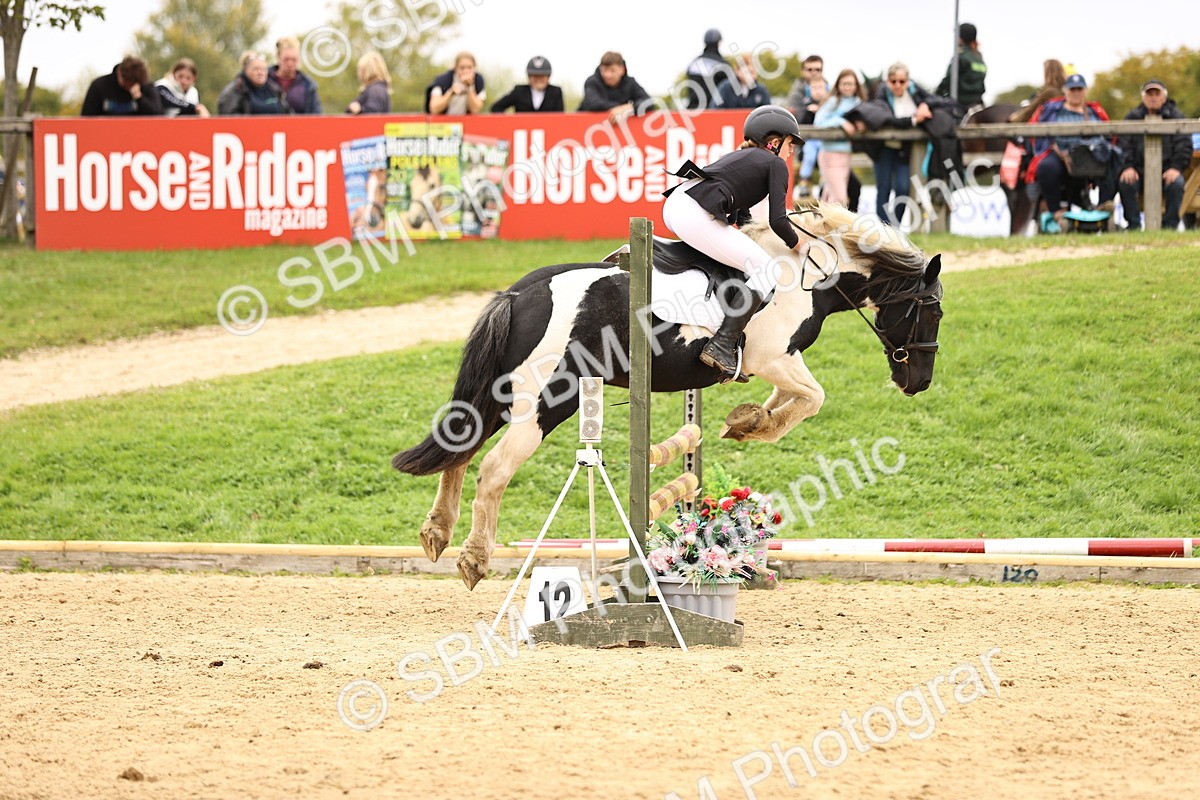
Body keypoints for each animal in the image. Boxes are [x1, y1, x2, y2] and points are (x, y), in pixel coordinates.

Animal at [391, 202, 944, 589]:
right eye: (933, 312)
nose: (918, 382)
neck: (806, 271)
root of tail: (519, 293)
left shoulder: (778, 363)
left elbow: (791, 400)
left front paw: (746, 419)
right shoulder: (774, 356)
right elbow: (813, 398)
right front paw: (755, 423)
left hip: (504, 393)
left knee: (461, 446)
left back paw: (437, 532)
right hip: (547, 403)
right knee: (492, 468)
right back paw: (474, 558)